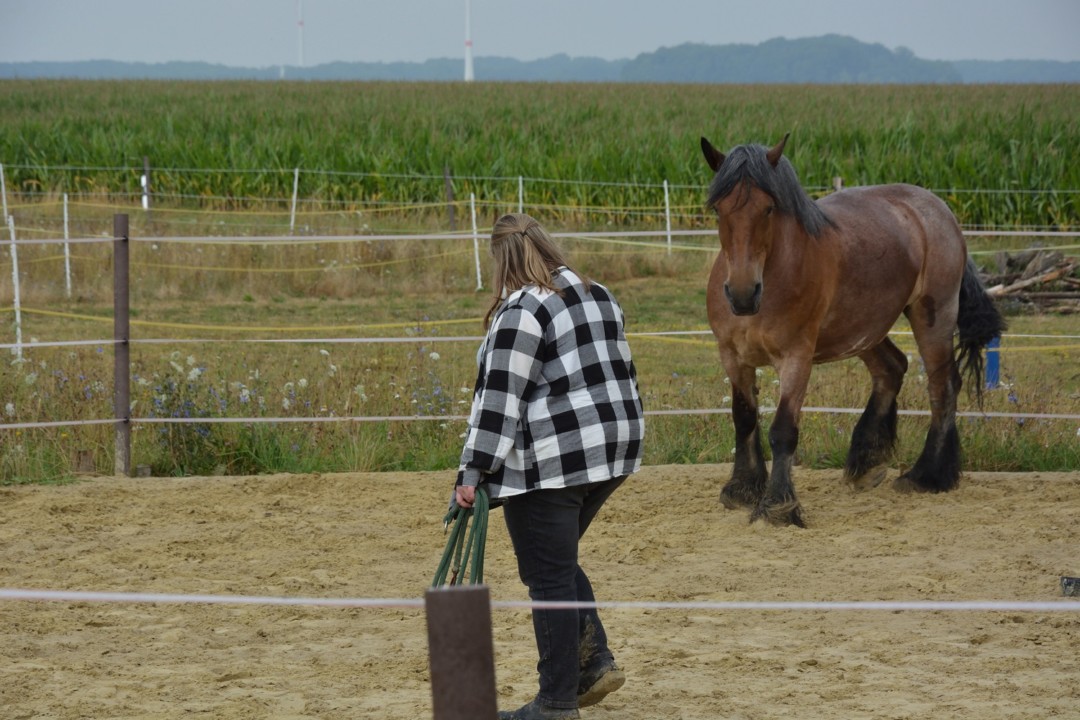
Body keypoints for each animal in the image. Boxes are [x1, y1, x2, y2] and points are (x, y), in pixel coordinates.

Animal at [700, 133, 1006, 527]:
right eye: (719, 210)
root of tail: (938, 208)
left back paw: (927, 475)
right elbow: (744, 418)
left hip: (933, 318)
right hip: (863, 330)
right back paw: (867, 462)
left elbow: (783, 430)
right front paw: (742, 489)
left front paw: (778, 506)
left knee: (943, 386)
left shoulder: (797, 358)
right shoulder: (733, 357)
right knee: (892, 368)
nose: (741, 293)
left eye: (768, 208)